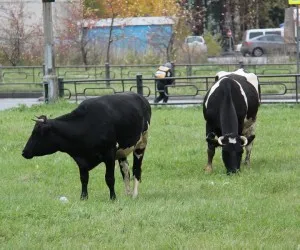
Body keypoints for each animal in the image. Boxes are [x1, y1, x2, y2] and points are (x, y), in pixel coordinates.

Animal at [22, 93, 151, 200]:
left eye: (37, 133)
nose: (24, 152)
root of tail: (141, 97)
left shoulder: (109, 154)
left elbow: (109, 178)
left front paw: (113, 198)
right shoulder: (81, 159)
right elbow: (84, 178)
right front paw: (83, 197)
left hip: (141, 144)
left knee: (136, 169)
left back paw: (134, 195)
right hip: (122, 151)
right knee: (125, 170)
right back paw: (127, 193)